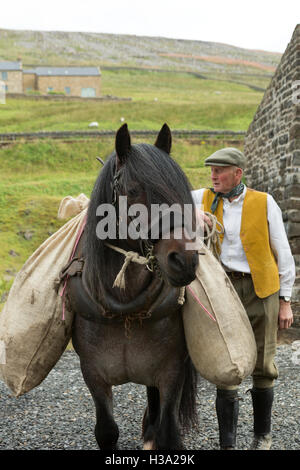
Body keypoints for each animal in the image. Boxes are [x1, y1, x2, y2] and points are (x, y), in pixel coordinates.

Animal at [67, 123, 200, 450]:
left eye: (181, 190)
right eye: (134, 190)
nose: (185, 260)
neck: (126, 309)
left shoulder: (172, 369)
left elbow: (169, 431)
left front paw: (157, 433)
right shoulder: (93, 372)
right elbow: (106, 430)